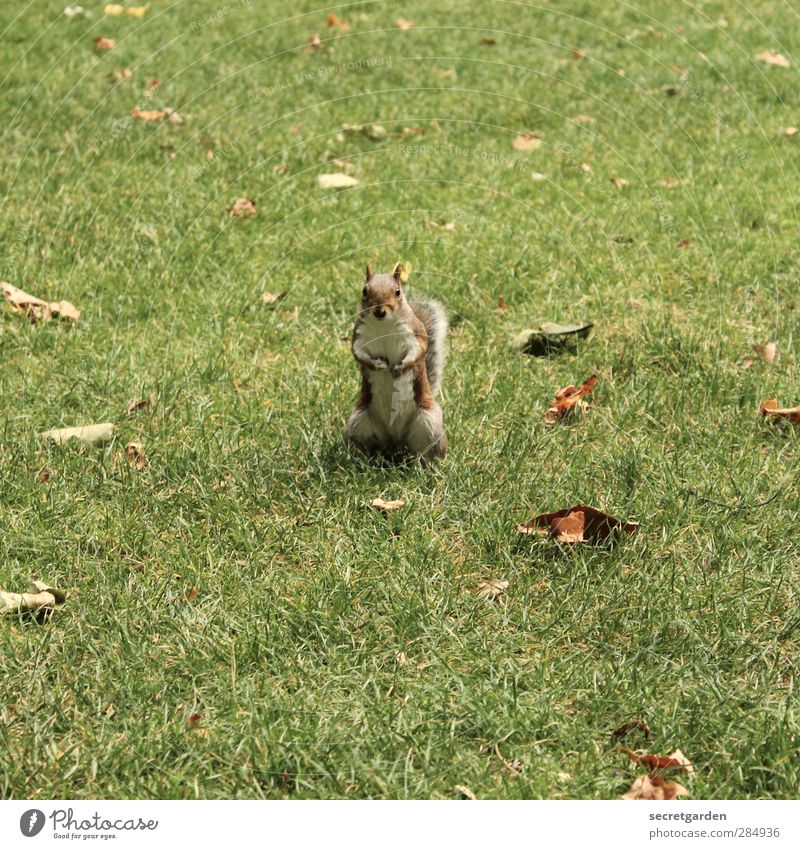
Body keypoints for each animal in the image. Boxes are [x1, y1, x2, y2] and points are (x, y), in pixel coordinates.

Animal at [346, 264, 450, 464]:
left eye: (397, 292)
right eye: (364, 291)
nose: (379, 311)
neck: (383, 325)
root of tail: (396, 439)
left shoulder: (414, 332)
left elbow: (418, 351)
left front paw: (400, 368)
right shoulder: (359, 337)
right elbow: (358, 354)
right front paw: (377, 365)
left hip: (429, 424)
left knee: (428, 452)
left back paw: (429, 467)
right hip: (359, 421)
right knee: (368, 447)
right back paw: (362, 459)